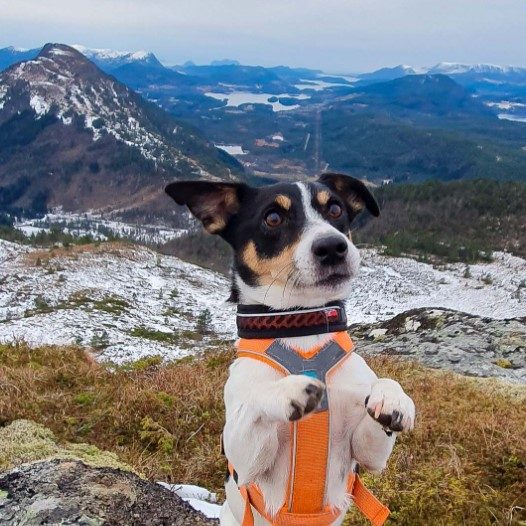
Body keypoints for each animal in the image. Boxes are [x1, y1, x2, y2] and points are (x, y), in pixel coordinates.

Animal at [166, 174, 416, 526]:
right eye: (273, 218)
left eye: (335, 209)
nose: (332, 246)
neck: (301, 325)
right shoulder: (245, 461)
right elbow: (256, 399)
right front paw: (288, 391)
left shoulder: (368, 453)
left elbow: (383, 391)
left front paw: (393, 398)